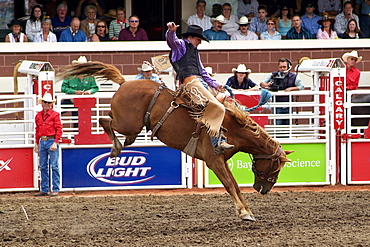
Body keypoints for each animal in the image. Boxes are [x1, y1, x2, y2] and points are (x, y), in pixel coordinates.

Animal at [59, 61, 294, 222]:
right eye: (275, 167)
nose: (264, 189)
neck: (232, 127)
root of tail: (126, 83)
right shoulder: (213, 160)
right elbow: (229, 184)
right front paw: (244, 212)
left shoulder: (222, 160)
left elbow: (234, 184)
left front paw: (247, 210)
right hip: (127, 124)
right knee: (104, 120)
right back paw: (116, 147)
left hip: (130, 127)